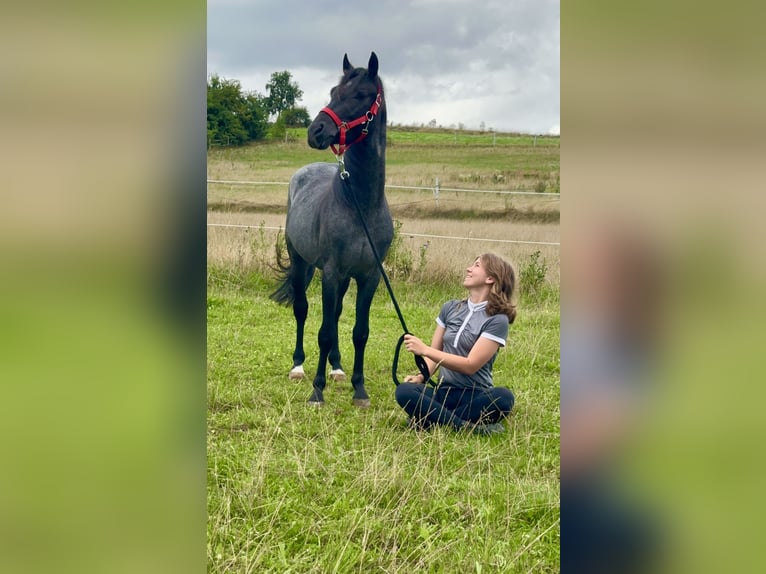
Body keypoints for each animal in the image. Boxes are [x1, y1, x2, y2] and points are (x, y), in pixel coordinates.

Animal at [271, 52, 392, 408]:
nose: (316, 130)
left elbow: (359, 332)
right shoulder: (331, 272)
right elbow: (323, 331)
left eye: (361, 94)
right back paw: (298, 367)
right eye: (333, 91)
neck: (360, 205)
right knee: (302, 311)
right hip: (301, 263)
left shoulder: (368, 276)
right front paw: (317, 391)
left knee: (336, 315)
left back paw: (337, 368)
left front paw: (359, 389)